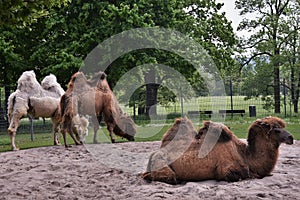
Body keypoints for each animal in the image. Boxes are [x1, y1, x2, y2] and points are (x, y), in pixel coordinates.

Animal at [142, 116, 294, 184]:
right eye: (276, 130)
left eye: (282, 127)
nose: (291, 137)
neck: (244, 155)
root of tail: (153, 154)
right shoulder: (227, 169)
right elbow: (244, 174)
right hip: (162, 164)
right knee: (166, 176)